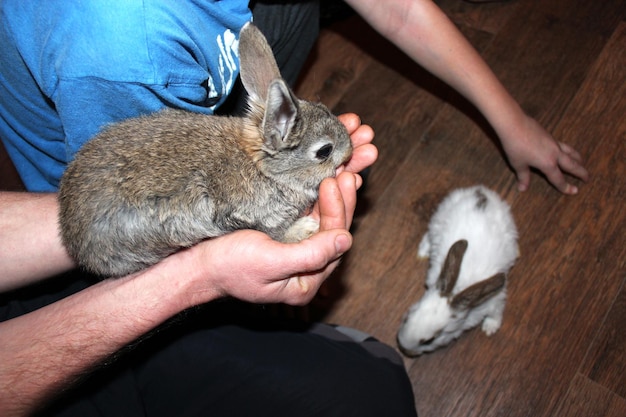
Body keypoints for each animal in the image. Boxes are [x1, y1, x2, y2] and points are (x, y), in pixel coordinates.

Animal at [58, 23, 352, 276]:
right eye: (324, 151)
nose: (349, 150)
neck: (265, 169)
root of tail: (72, 240)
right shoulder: (249, 216)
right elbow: (275, 234)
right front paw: (306, 228)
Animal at [394, 185, 516, 354]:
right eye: (407, 318)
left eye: (429, 340)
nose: (403, 346)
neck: (457, 290)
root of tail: (480, 192)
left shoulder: (494, 302)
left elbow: (496, 313)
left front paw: (489, 329)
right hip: (437, 222)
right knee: (428, 236)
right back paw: (423, 252)